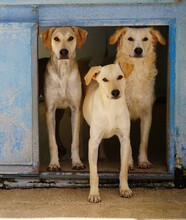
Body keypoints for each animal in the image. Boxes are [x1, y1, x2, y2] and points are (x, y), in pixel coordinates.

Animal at [39, 26, 87, 171]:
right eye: (56, 38)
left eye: (71, 38)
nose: (64, 51)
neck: (64, 72)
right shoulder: (49, 110)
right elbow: (51, 141)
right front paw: (54, 163)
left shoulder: (76, 110)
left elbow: (75, 140)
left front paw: (77, 162)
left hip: (60, 112)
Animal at [83, 62, 134, 203]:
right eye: (105, 79)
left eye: (120, 77)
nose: (115, 92)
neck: (112, 107)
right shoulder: (93, 141)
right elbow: (94, 172)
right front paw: (94, 193)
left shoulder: (124, 138)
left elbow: (123, 170)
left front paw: (125, 189)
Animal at [109, 27, 166, 168]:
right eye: (130, 39)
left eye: (145, 39)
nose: (138, 50)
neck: (136, 71)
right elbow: (127, 142)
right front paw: (128, 163)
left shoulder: (147, 114)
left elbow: (144, 141)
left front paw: (144, 161)